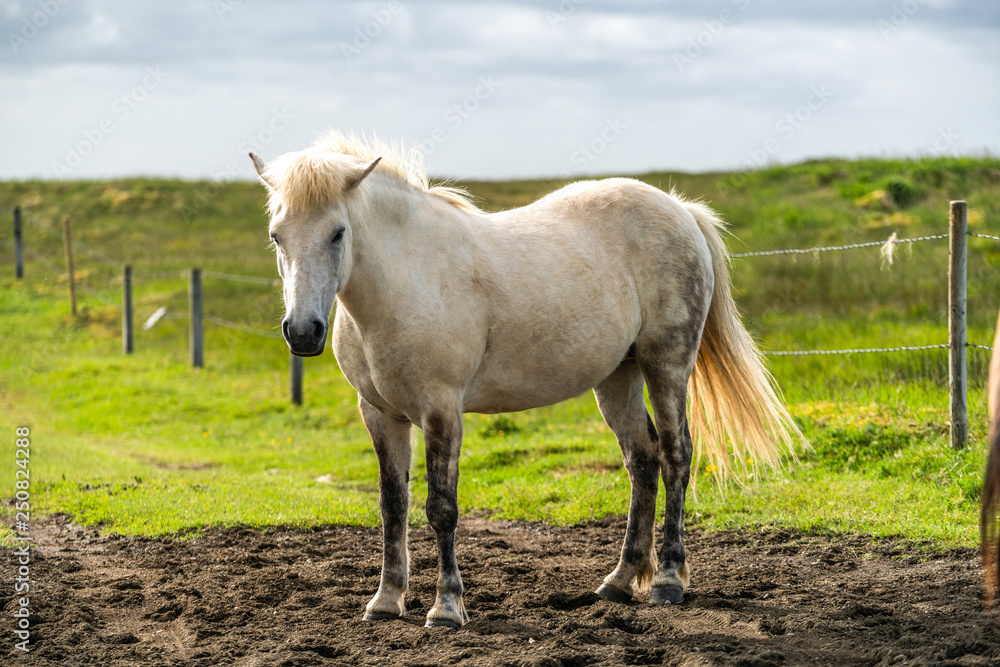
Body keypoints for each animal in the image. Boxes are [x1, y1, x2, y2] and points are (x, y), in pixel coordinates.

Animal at [252, 133, 804, 628]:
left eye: (338, 233)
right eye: (277, 235)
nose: (302, 331)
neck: (407, 280)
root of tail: (680, 209)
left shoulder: (441, 411)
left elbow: (440, 509)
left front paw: (446, 610)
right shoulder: (380, 414)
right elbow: (393, 506)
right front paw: (386, 602)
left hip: (666, 366)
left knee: (675, 456)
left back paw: (667, 580)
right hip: (617, 377)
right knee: (642, 461)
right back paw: (620, 581)